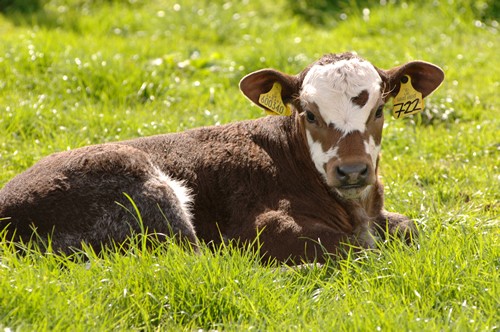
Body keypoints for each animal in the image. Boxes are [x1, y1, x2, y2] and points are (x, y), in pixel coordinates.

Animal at [0, 52, 446, 262]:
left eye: (379, 110)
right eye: (309, 113)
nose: (352, 169)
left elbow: (408, 228)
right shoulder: (263, 225)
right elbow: (356, 249)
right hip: (137, 179)